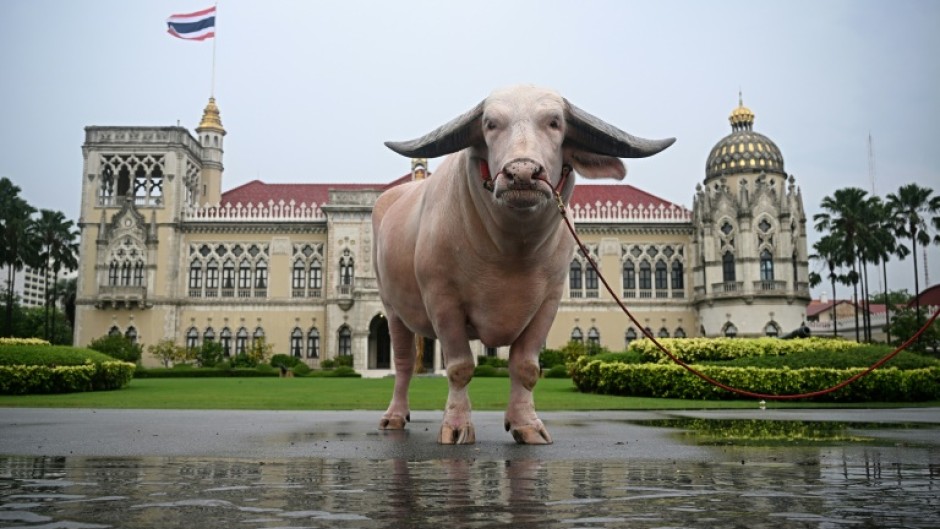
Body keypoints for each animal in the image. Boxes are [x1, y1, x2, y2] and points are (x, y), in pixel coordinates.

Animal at [370, 85, 672, 442]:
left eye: (555, 122)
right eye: (490, 124)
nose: (523, 173)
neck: (511, 251)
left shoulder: (548, 303)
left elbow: (526, 367)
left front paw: (526, 424)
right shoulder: (443, 302)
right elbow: (460, 367)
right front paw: (456, 425)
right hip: (392, 309)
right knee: (403, 364)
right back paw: (395, 415)